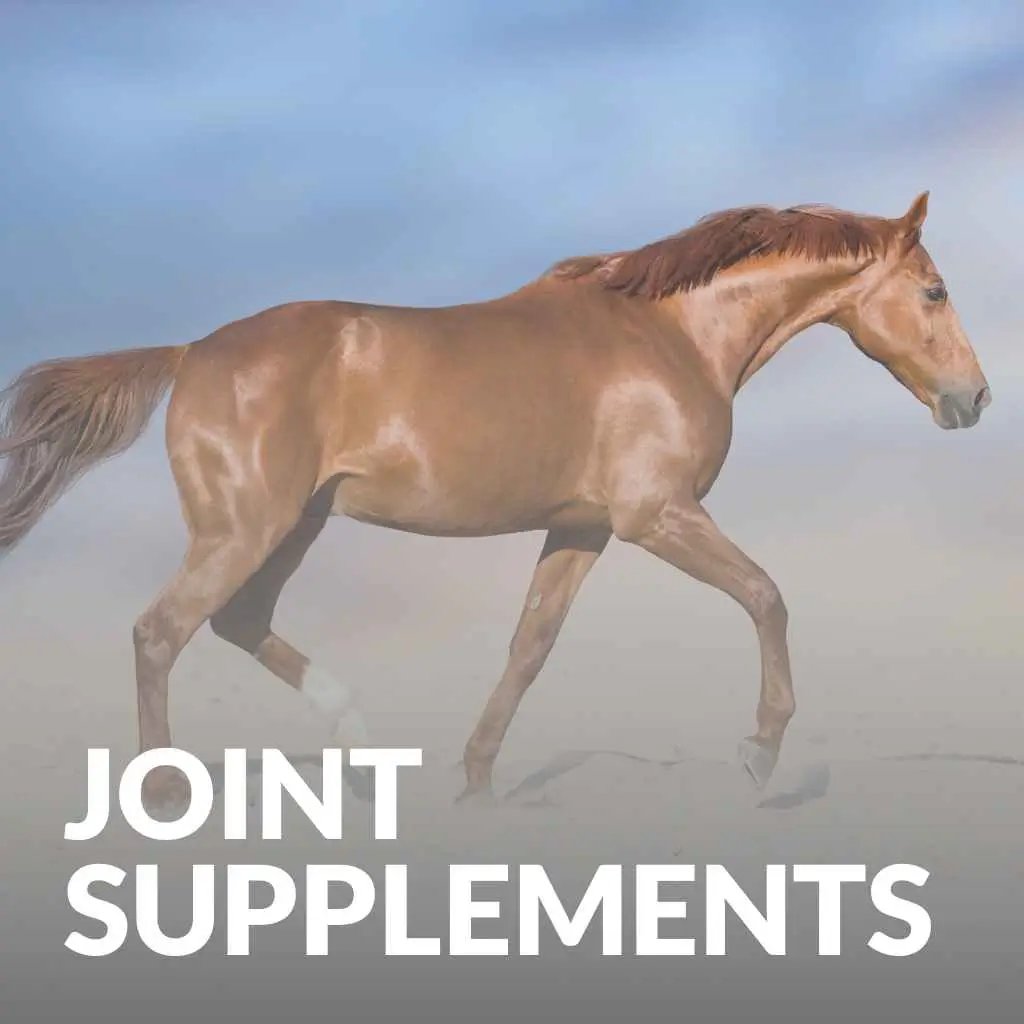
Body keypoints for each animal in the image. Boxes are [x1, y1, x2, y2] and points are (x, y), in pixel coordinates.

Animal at [0, 192, 990, 808]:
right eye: (935, 289)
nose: (974, 400)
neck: (671, 335)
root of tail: (190, 352)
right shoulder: (656, 516)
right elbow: (767, 596)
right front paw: (758, 753)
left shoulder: (582, 528)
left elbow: (530, 648)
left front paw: (475, 782)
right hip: (246, 526)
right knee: (161, 632)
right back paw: (166, 791)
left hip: (293, 526)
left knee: (236, 622)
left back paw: (361, 743)